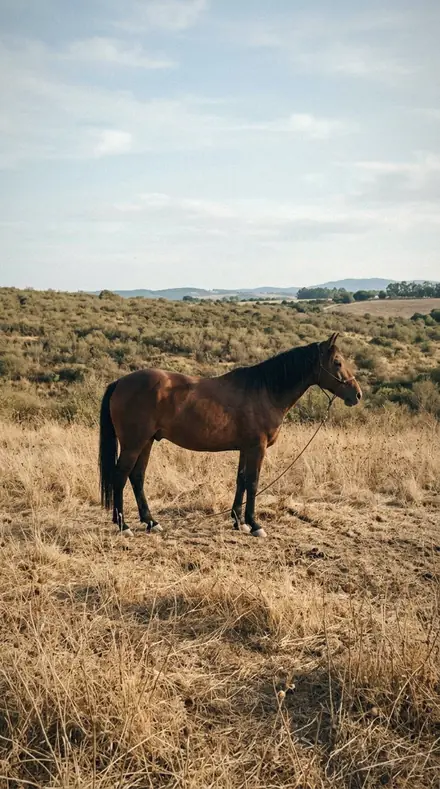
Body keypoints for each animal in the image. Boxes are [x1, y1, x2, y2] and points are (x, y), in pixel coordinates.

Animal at [99, 333, 362, 538]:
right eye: (337, 362)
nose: (357, 395)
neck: (265, 391)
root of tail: (120, 382)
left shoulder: (246, 448)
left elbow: (241, 480)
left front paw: (238, 521)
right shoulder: (257, 447)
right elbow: (253, 483)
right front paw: (255, 525)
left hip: (146, 442)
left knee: (137, 477)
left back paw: (151, 522)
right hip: (134, 444)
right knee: (120, 476)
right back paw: (124, 525)